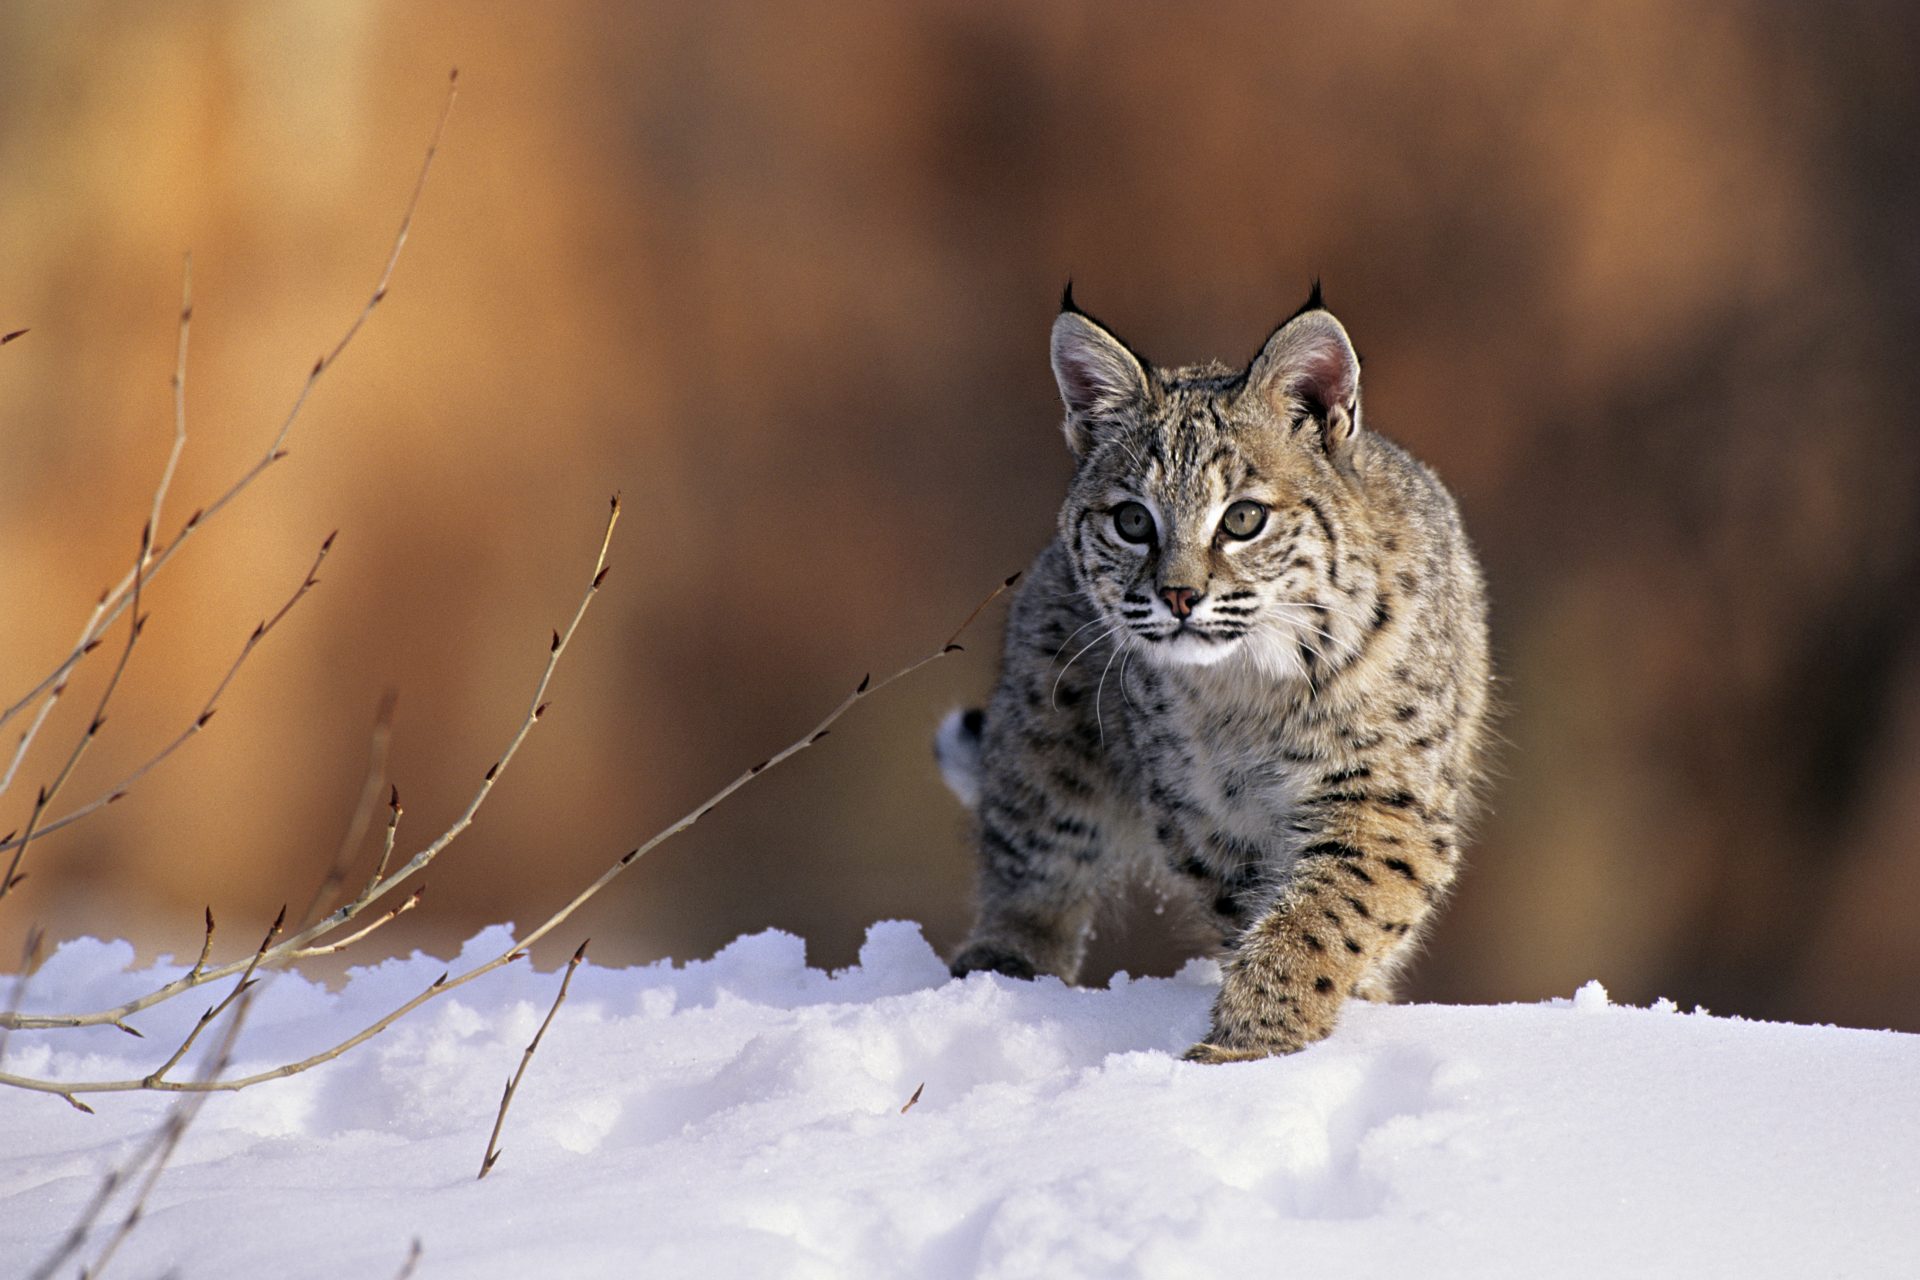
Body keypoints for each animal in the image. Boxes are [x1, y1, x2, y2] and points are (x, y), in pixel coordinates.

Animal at [936, 287, 1489, 1059]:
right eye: (1133, 522)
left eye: (1244, 519)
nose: (1178, 597)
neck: (1249, 683)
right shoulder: (1207, 817)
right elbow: (1276, 913)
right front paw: (1258, 1038)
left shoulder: (1386, 798)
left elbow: (1323, 913)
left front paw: (1251, 1044)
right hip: (1047, 723)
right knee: (1037, 845)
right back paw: (1006, 964)